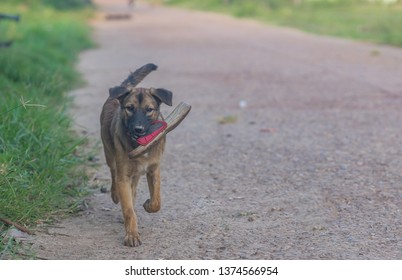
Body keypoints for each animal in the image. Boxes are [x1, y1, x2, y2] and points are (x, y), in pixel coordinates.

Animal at [99, 64, 172, 247]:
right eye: (129, 108)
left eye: (149, 110)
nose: (138, 129)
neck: (139, 145)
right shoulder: (123, 175)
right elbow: (128, 210)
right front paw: (131, 235)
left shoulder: (153, 170)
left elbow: (156, 201)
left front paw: (148, 205)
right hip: (109, 154)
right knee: (113, 174)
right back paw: (115, 194)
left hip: (136, 172)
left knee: (133, 188)